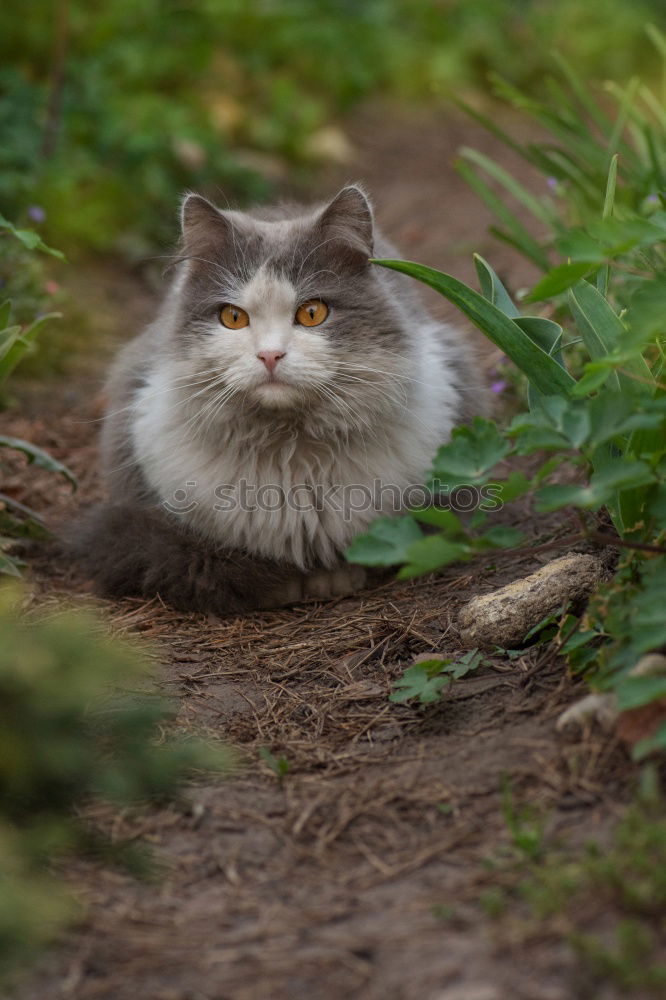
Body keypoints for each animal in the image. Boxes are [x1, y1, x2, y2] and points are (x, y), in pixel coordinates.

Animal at [72, 184, 486, 612]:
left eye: (312, 313)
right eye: (233, 318)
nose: (270, 355)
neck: (291, 452)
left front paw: (333, 579)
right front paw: (284, 585)